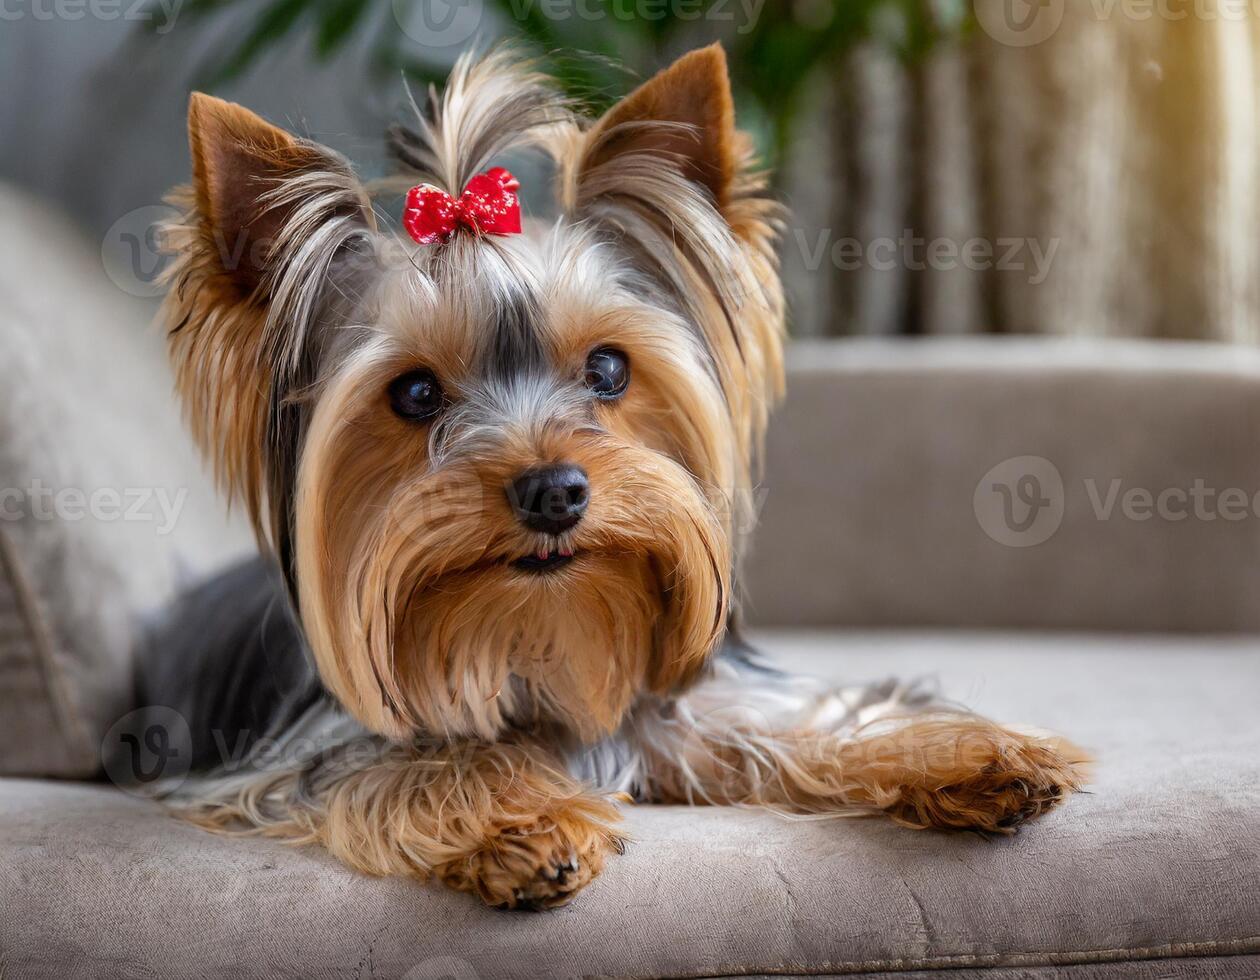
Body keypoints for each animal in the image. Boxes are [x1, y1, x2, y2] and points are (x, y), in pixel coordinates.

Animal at [135, 41, 1083, 906]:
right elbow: (424, 765)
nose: (554, 490)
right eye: (414, 392)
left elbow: (811, 717)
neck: (538, 645)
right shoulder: (294, 758)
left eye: (608, 369)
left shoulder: (689, 705)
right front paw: (526, 823)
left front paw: (967, 752)